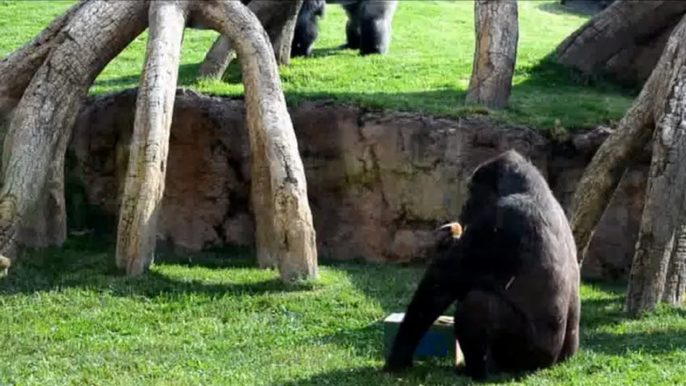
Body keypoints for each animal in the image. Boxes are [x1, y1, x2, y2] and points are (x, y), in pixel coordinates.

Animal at [384, 150, 584, 380]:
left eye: (472, 191)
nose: (465, 207)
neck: (531, 189)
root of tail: (552, 363)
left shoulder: (498, 221)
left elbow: (440, 285)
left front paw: (399, 356)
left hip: (526, 359)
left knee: (476, 302)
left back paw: (477, 371)